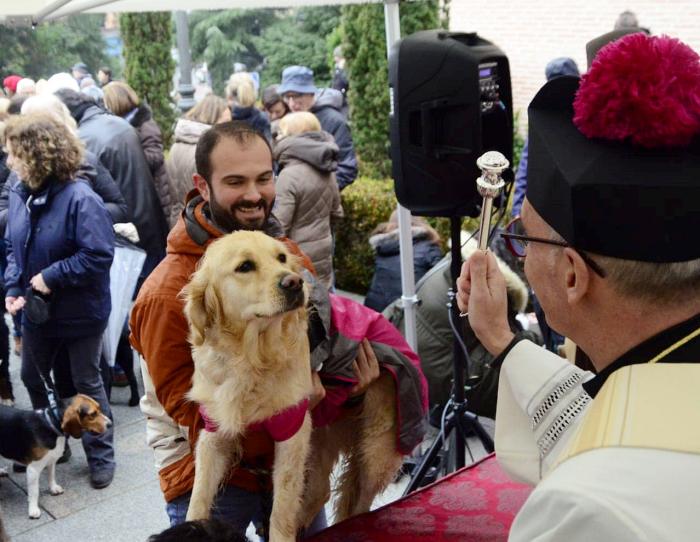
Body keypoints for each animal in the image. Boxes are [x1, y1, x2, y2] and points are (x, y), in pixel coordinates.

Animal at [183, 233, 402, 542]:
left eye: (282, 258)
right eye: (245, 266)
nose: (294, 283)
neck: (251, 357)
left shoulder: (292, 429)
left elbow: (281, 509)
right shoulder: (215, 432)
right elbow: (198, 497)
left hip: (375, 449)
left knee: (361, 501)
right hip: (322, 436)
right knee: (322, 490)